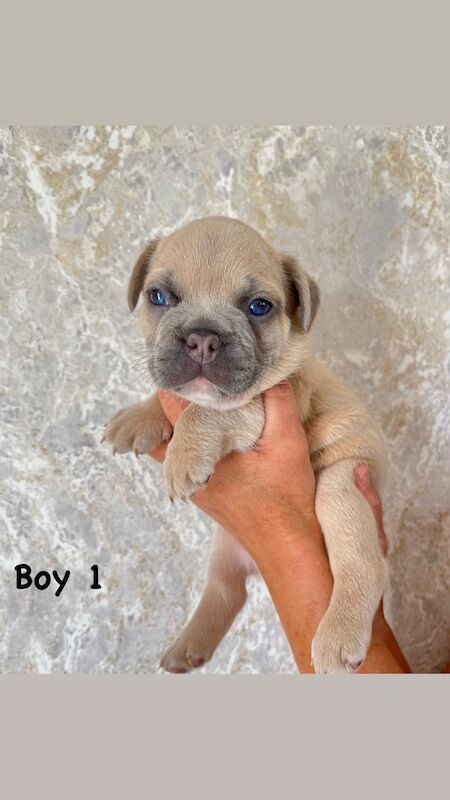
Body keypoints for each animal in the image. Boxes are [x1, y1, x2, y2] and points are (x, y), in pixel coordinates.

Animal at [103, 216, 388, 672]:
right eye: (159, 297)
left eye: (259, 306)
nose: (201, 337)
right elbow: (172, 397)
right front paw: (137, 418)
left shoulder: (262, 405)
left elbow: (205, 412)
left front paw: (184, 454)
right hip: (223, 548)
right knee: (227, 590)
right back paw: (188, 647)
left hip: (342, 488)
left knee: (363, 565)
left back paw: (339, 636)